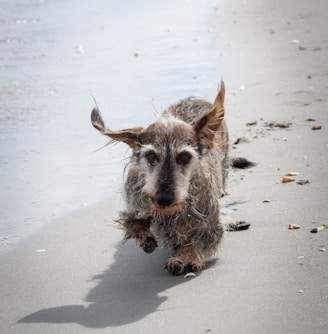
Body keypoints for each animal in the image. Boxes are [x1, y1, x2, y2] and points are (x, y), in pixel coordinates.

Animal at [90, 80, 249, 274]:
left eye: (184, 156)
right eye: (151, 155)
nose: (164, 199)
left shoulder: (210, 223)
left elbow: (203, 239)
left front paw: (184, 257)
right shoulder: (135, 205)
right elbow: (133, 222)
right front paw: (146, 238)